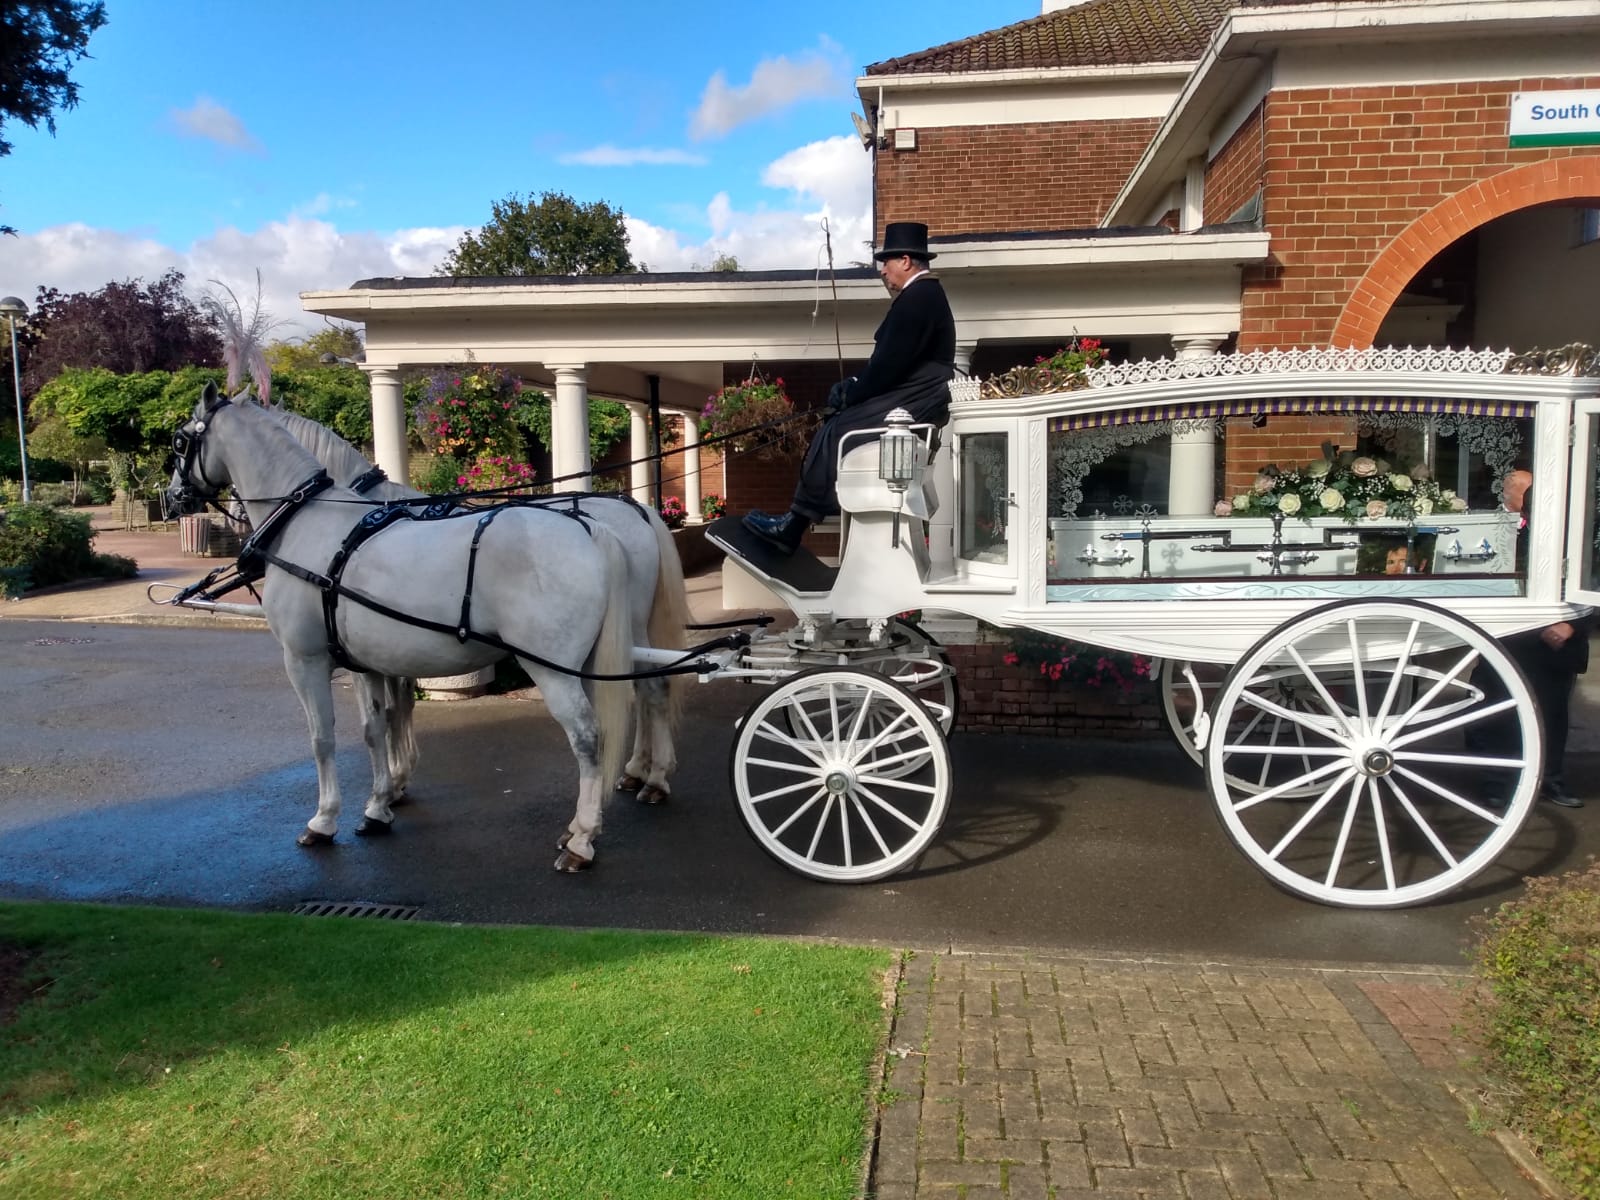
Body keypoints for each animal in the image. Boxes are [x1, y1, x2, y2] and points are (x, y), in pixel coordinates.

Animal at [167, 385, 636, 876]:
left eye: (180, 442)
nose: (174, 496)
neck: (306, 525)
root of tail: (588, 529)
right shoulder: (367, 664)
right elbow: (376, 727)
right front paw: (378, 806)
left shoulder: (305, 660)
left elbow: (322, 737)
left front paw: (324, 819)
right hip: (585, 666)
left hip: (552, 670)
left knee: (587, 738)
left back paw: (582, 840)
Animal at [256, 404, 688, 809]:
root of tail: (638, 512)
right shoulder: (389, 649)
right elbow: (396, 708)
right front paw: (396, 781)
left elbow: (389, 713)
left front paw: (393, 783)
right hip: (630, 628)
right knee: (648, 687)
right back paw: (642, 771)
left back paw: (646, 777)